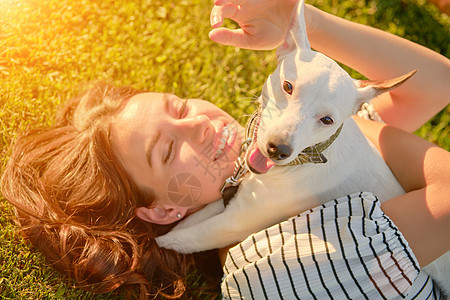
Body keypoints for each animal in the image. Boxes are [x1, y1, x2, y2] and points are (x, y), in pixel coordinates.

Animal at [156, 0, 448, 296]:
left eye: (327, 120)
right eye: (288, 86)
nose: (278, 149)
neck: (305, 161)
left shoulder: (235, 222)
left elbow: (181, 238)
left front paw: (154, 245)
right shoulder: (232, 200)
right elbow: (192, 220)